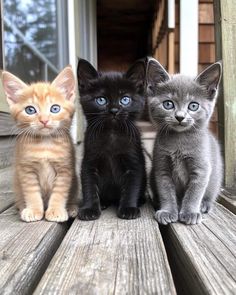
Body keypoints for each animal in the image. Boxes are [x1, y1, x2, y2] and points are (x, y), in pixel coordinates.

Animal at [1, 67, 78, 223]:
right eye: (30, 110)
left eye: (55, 109)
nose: (44, 120)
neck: (45, 144)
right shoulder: (26, 170)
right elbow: (31, 193)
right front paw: (33, 210)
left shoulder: (65, 170)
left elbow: (60, 192)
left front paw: (55, 210)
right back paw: (22, 207)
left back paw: (72, 207)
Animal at [76, 59, 147, 221]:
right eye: (101, 100)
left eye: (125, 99)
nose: (114, 110)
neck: (111, 134)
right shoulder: (89, 161)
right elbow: (89, 185)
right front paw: (90, 209)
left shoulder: (134, 163)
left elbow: (132, 187)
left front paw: (128, 208)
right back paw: (103, 203)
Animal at [148, 57, 223, 224]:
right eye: (168, 104)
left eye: (193, 106)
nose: (180, 117)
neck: (179, 141)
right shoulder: (161, 167)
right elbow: (165, 191)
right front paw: (168, 211)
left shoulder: (202, 168)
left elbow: (194, 193)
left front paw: (190, 212)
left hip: (215, 177)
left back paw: (204, 204)